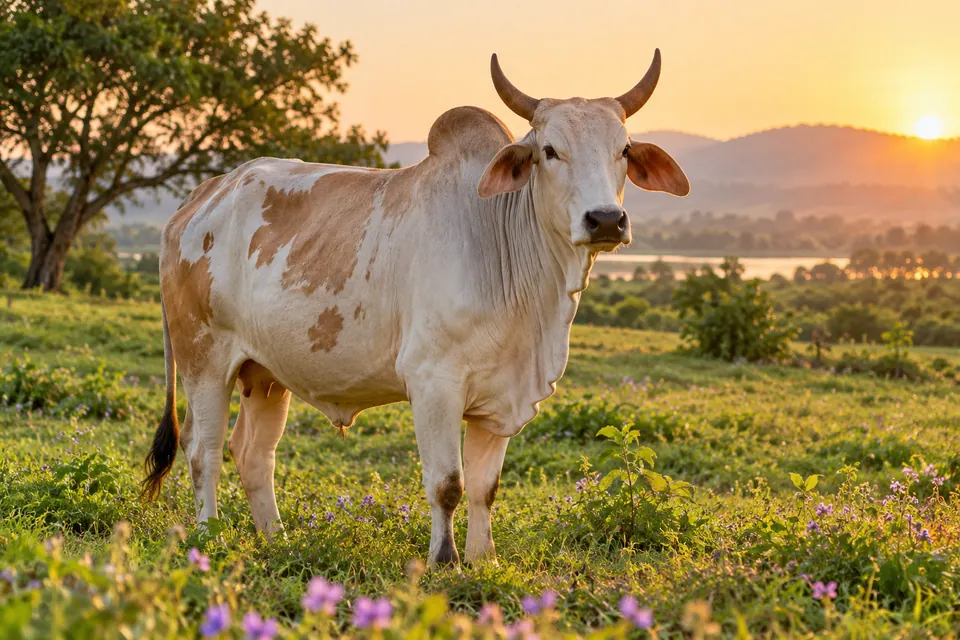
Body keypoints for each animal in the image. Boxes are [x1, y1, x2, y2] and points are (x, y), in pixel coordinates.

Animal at [143, 50, 689, 566]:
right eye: (550, 150)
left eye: (623, 150)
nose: (606, 219)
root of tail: (197, 200)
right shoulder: (433, 383)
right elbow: (447, 484)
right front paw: (444, 561)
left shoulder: (501, 398)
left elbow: (485, 488)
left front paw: (484, 558)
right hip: (204, 359)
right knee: (204, 451)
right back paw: (210, 538)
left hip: (266, 373)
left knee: (254, 454)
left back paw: (279, 541)